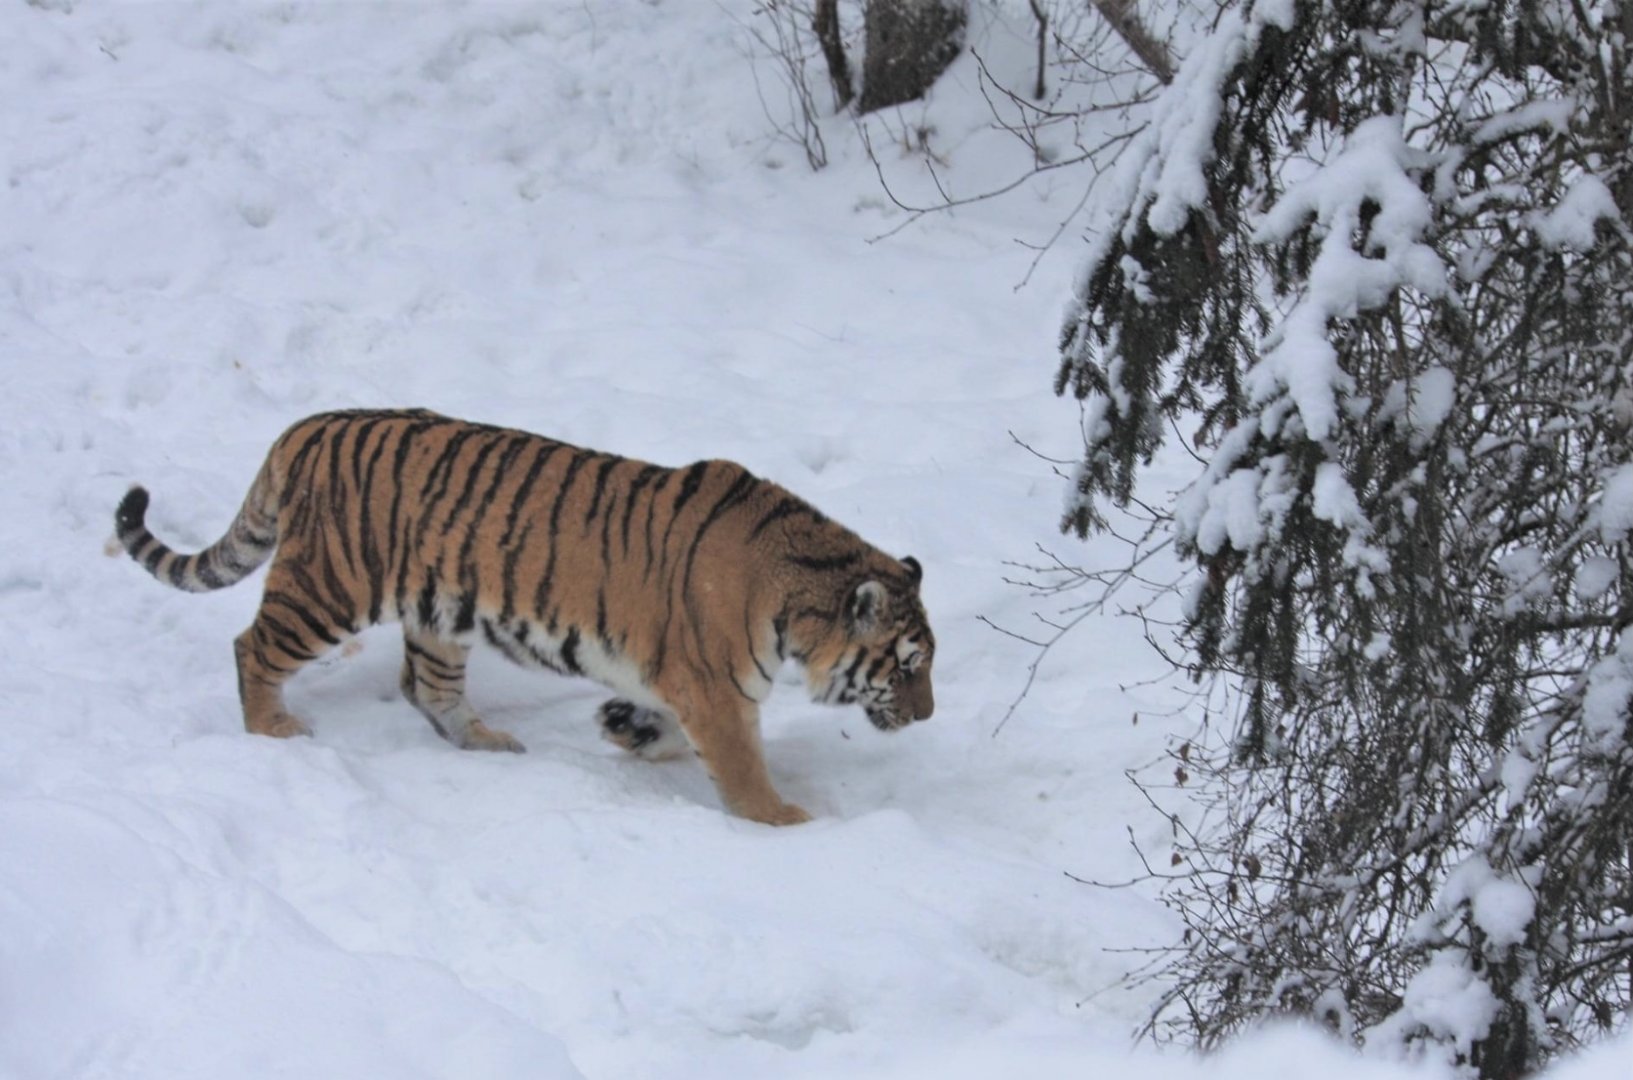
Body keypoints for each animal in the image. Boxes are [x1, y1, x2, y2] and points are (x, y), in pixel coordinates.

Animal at [113, 408, 935, 826]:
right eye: (909, 666)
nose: (928, 716)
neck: (800, 591)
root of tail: (306, 427)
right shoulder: (716, 689)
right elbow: (742, 770)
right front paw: (793, 825)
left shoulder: (683, 679)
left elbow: (665, 725)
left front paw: (627, 729)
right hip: (328, 587)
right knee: (251, 647)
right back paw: (273, 731)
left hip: (438, 614)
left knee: (427, 688)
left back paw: (489, 743)